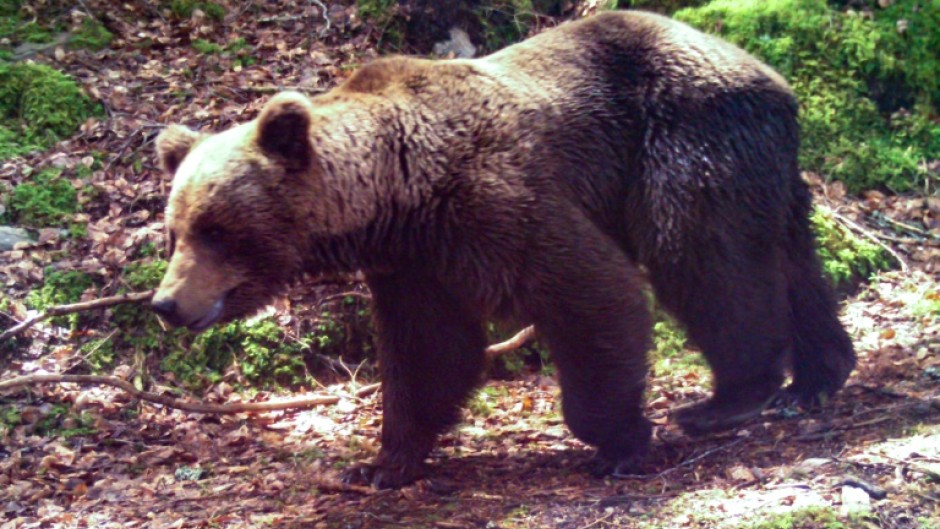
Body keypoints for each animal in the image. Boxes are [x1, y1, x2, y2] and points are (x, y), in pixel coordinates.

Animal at [151, 10, 856, 489]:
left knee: (702, 256)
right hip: (760, 168)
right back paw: (817, 377)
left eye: (215, 228)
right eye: (175, 230)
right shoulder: (414, 264)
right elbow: (429, 351)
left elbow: (593, 290)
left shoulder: (497, 201)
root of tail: (773, 78)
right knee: (792, 262)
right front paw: (381, 463)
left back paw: (728, 398)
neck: (398, 192)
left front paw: (620, 441)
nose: (166, 303)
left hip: (685, 139)